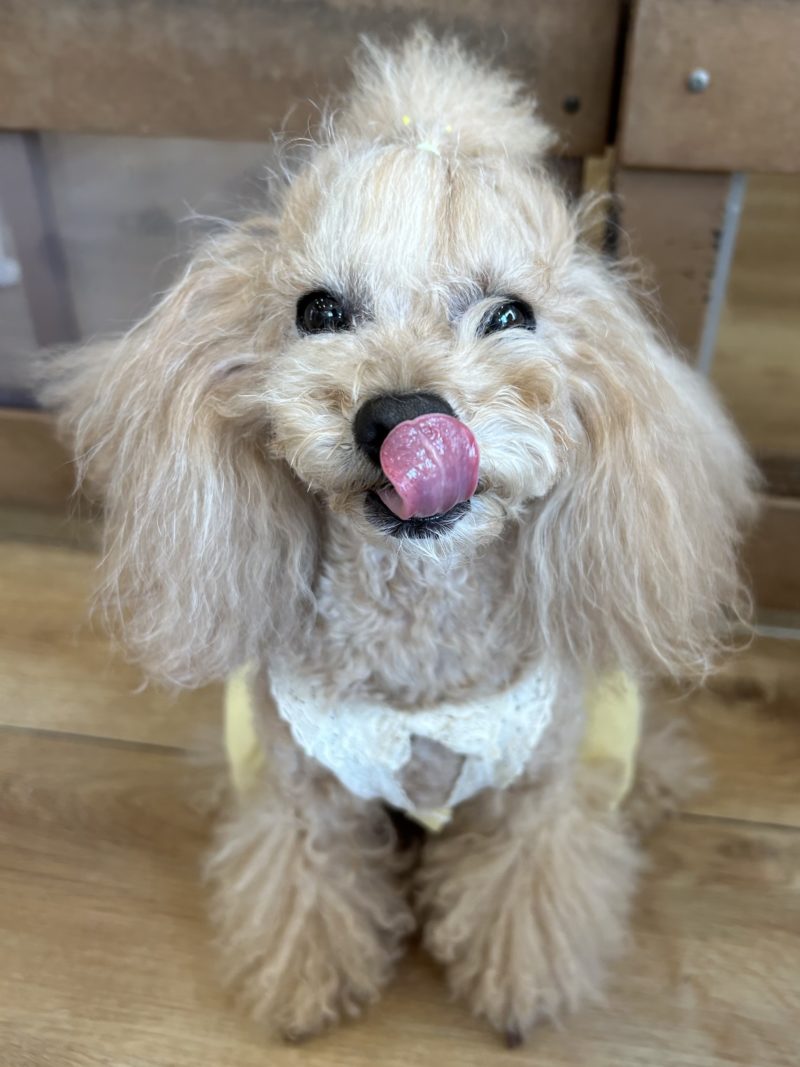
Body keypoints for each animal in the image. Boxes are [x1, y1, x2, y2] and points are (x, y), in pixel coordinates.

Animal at [46, 30, 759, 1045]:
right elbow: (304, 884)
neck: (420, 635)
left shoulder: (534, 796)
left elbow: (525, 890)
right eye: (319, 311)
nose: (399, 416)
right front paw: (304, 991)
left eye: (510, 314)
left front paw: (518, 996)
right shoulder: (305, 793)